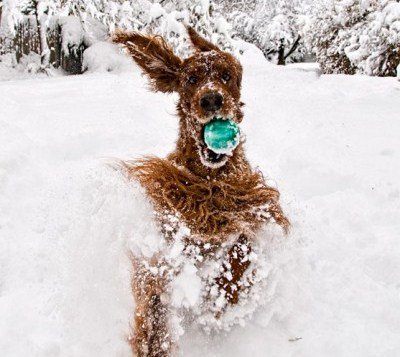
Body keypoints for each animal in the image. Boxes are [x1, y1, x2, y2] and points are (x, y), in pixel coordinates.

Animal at [111, 27, 288, 356]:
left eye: (226, 75)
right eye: (191, 79)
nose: (211, 99)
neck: (210, 181)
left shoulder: (244, 208)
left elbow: (241, 248)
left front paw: (224, 291)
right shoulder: (167, 228)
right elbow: (153, 285)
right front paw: (153, 336)